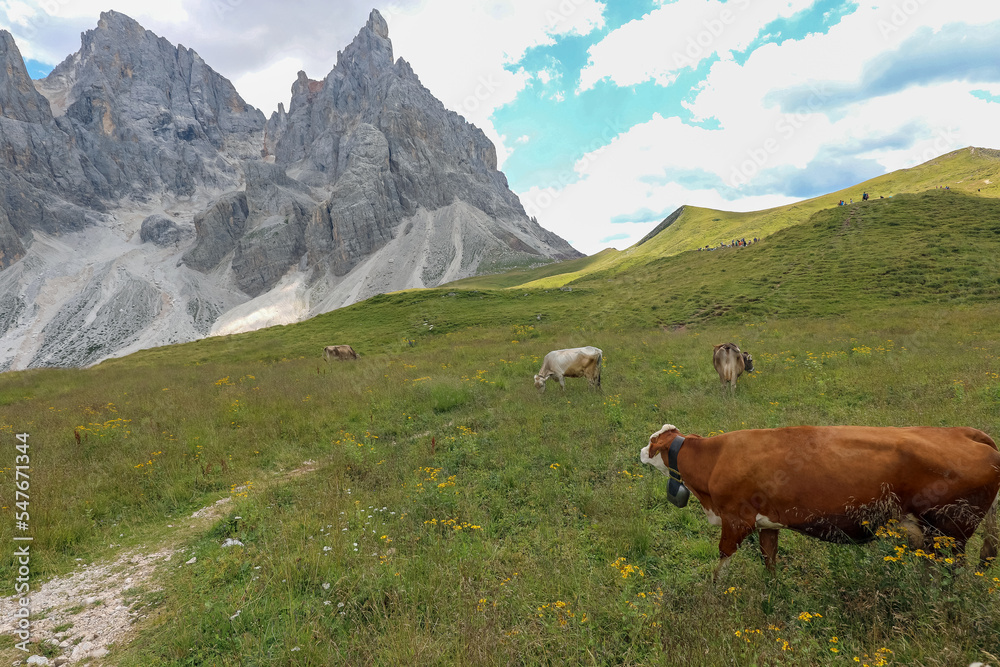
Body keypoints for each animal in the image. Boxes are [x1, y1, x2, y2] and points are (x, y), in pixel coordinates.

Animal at [640, 423, 1000, 578]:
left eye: (652, 440)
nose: (641, 451)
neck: (714, 458)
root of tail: (966, 432)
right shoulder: (768, 522)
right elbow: (769, 558)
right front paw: (773, 588)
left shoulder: (736, 520)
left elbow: (721, 563)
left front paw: (714, 592)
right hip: (935, 535)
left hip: (951, 533)